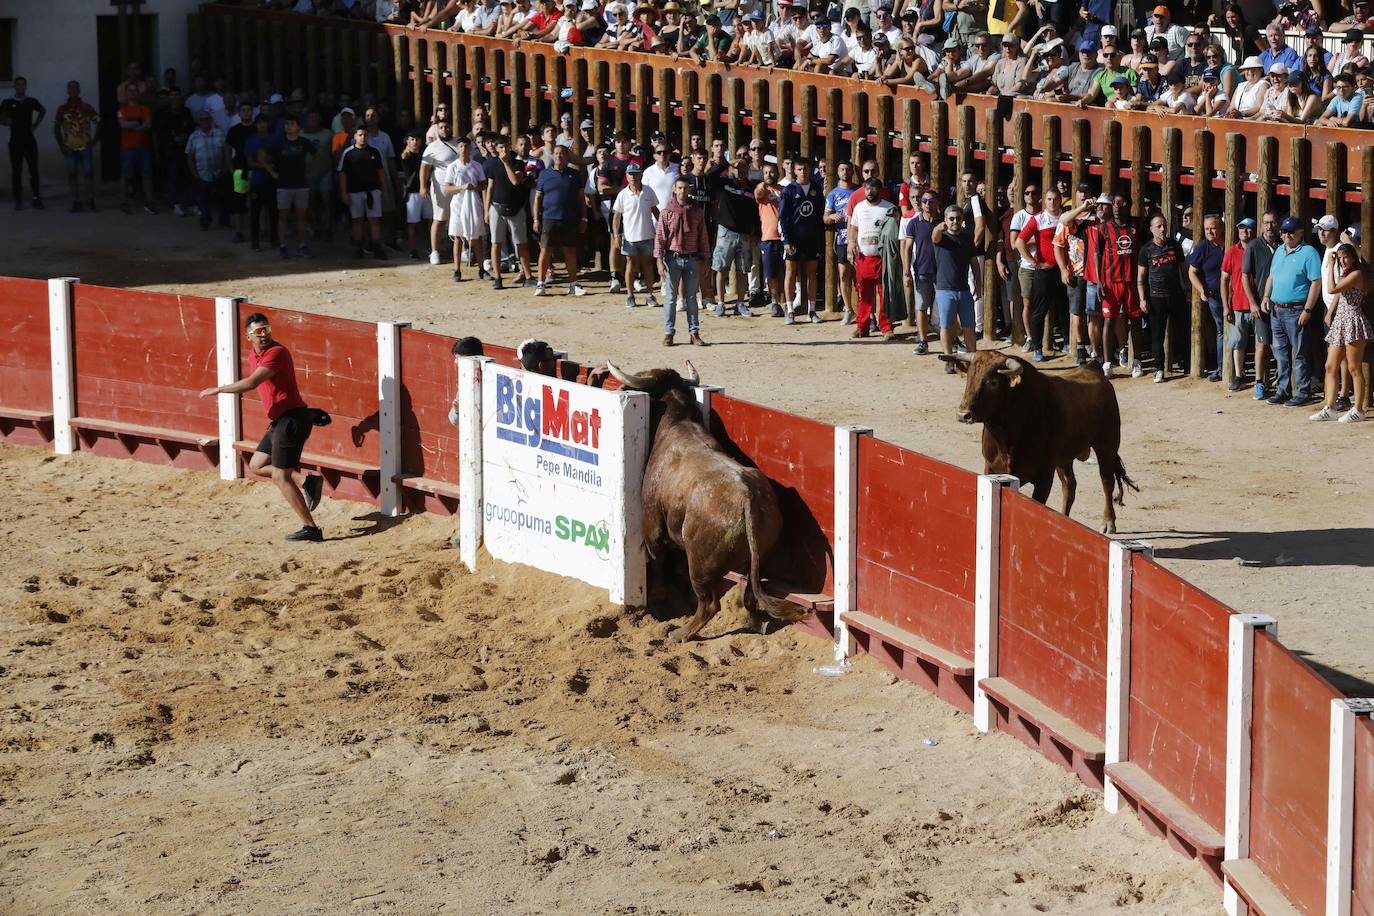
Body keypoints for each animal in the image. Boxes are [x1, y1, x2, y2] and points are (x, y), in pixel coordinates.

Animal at [945, 354, 1137, 538]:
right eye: (969, 377)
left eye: (993, 382)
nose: (964, 414)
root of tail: (1093, 368)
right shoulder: (991, 467)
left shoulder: (1044, 475)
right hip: (1065, 457)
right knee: (1070, 484)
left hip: (1107, 445)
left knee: (1106, 481)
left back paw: (1108, 522)